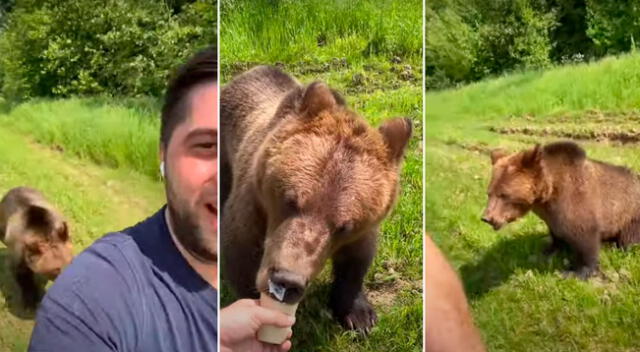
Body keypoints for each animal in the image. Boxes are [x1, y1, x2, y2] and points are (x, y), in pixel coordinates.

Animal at [219, 66, 410, 332]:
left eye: (344, 226)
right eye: (290, 201)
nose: (288, 280)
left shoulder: (363, 230)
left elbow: (357, 260)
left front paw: (359, 316)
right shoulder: (251, 207)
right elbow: (240, 255)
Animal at [482, 142, 640, 280]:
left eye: (504, 194)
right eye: (489, 193)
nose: (487, 218)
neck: (549, 194)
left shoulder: (577, 203)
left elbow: (586, 239)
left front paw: (576, 271)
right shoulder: (552, 215)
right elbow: (556, 234)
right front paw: (548, 250)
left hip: (631, 216)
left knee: (628, 240)